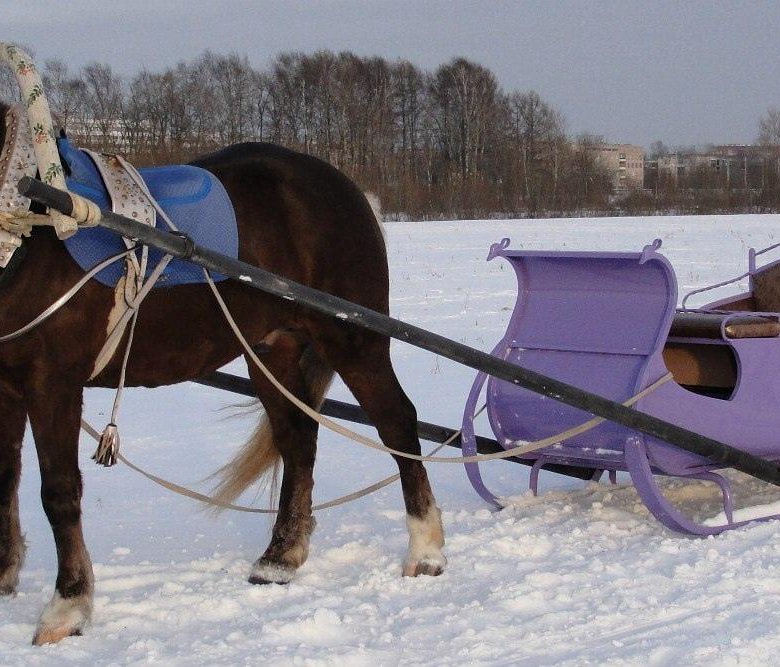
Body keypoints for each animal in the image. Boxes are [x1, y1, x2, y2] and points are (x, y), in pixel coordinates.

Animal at [0, 103, 444, 648]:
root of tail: (347, 186)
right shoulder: (4, 387)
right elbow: (5, 480)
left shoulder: (53, 383)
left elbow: (58, 492)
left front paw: (67, 608)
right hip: (272, 350)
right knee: (298, 438)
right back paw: (281, 556)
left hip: (354, 340)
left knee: (397, 422)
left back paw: (425, 549)